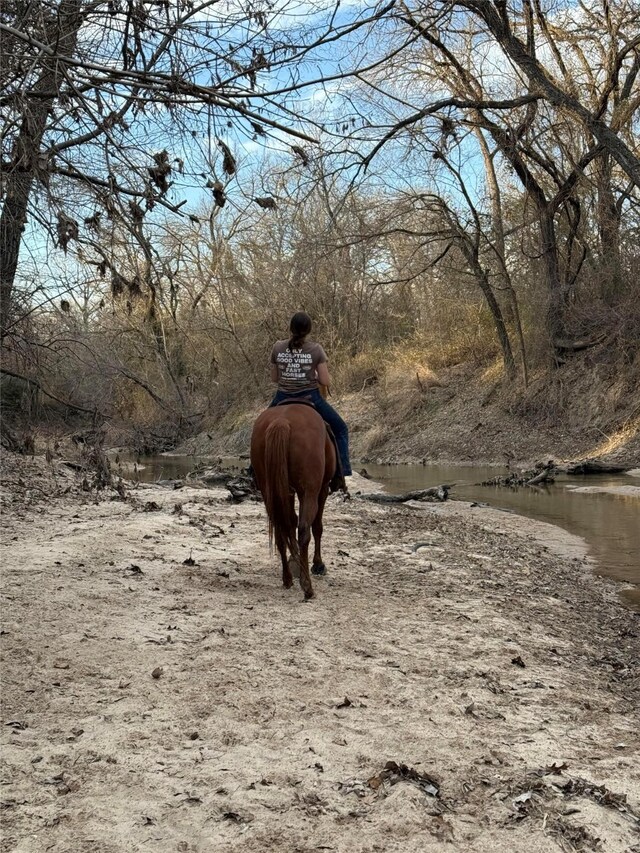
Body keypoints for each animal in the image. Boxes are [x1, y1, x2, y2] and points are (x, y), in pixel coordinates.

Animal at [250, 402, 338, 596]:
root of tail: (281, 422)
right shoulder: (322, 489)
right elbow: (317, 527)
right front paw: (318, 564)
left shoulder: (287, 492)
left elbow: (289, 522)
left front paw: (295, 561)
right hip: (309, 492)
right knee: (304, 529)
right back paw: (307, 586)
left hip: (270, 491)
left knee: (280, 529)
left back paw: (288, 578)